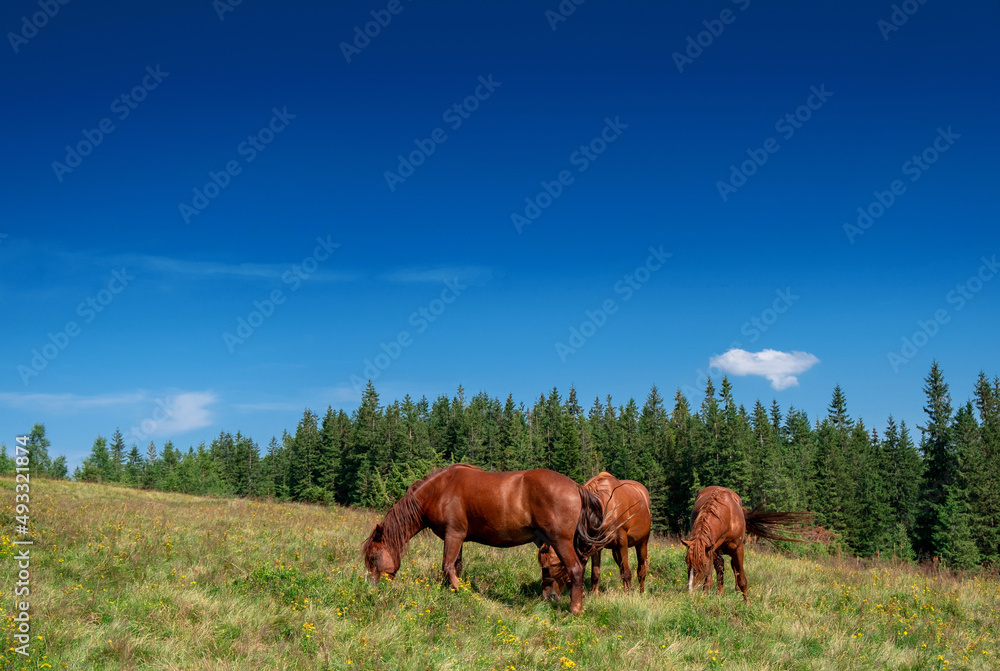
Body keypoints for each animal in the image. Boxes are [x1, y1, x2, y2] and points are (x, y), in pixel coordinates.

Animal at [362, 464, 624, 615]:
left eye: (374, 557)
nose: (371, 589)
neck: (438, 491)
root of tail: (577, 487)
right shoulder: (458, 538)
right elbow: (455, 566)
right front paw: (451, 593)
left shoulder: (453, 535)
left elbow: (448, 566)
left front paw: (462, 593)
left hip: (560, 541)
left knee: (576, 570)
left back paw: (574, 610)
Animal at [682, 485, 811, 604]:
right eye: (687, 562)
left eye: (703, 564)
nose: (691, 592)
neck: (727, 517)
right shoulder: (713, 550)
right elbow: (713, 575)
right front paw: (709, 595)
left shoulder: (738, 549)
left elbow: (742, 578)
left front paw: (747, 603)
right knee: (722, 567)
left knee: (733, 566)